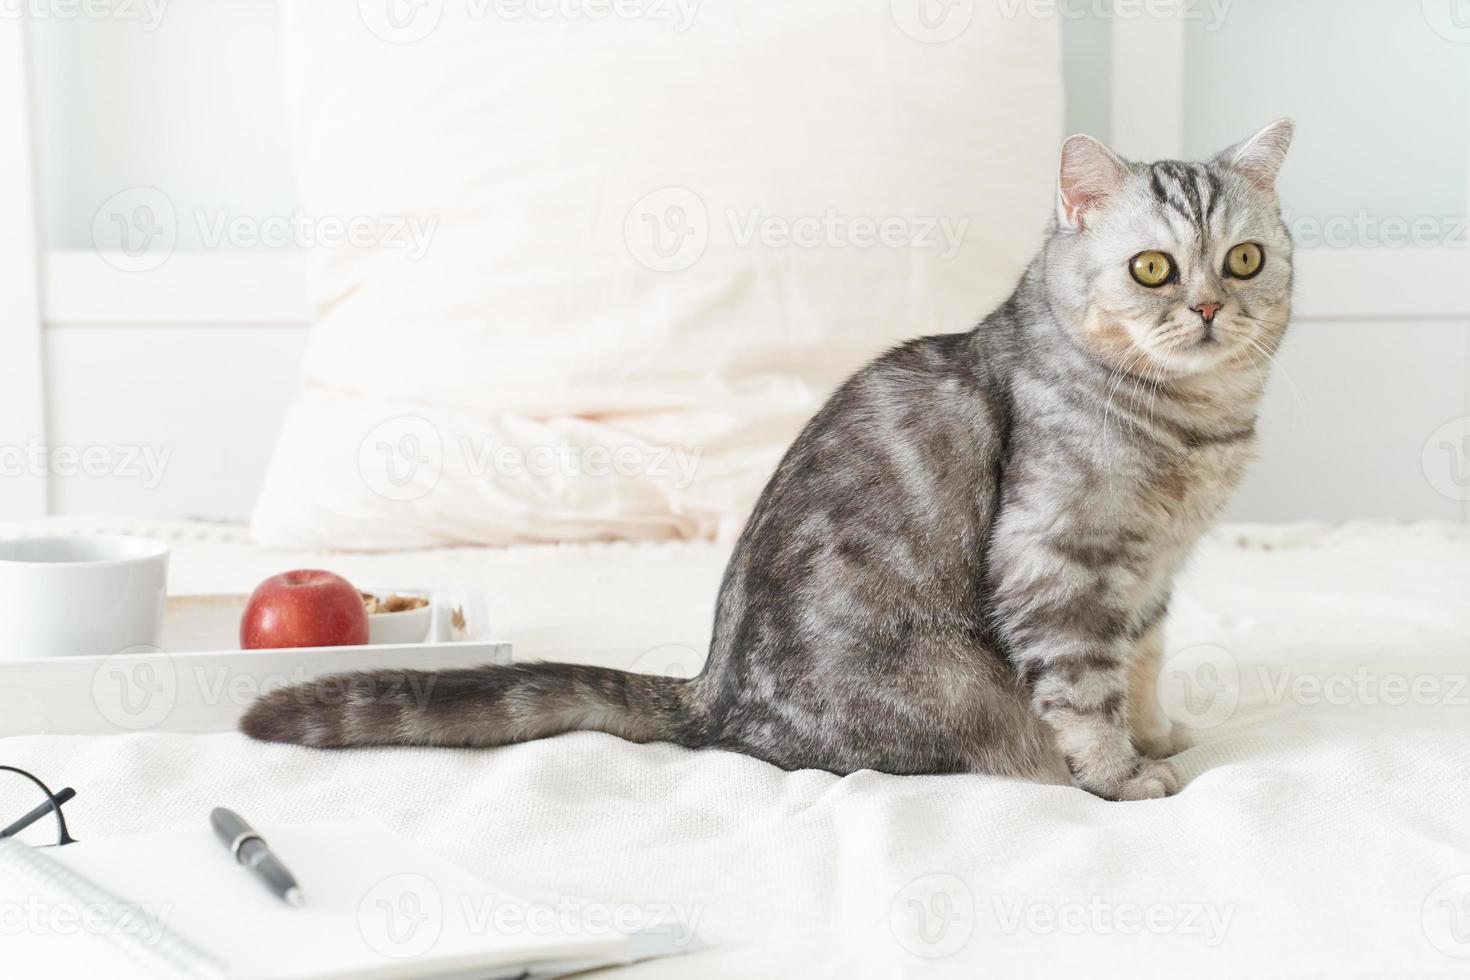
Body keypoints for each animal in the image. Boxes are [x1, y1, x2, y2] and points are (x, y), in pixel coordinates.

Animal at [244, 119, 1299, 799]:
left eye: (1242, 260)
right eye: (1153, 269)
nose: (1208, 307)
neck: (1195, 428)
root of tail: (707, 701)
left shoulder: (1149, 577)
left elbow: (1142, 665)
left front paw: (1158, 733)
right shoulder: (1058, 563)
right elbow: (1086, 691)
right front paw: (1126, 773)